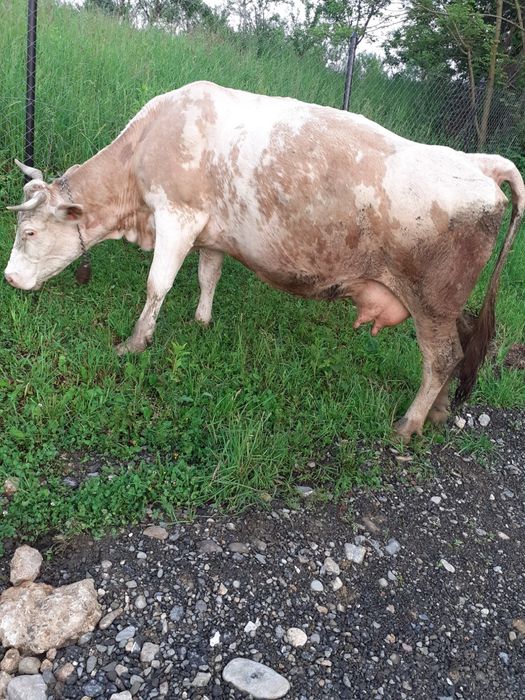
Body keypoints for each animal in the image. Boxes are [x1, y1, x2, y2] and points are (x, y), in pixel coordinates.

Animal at [4, 81, 524, 442]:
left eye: (28, 232)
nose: (9, 277)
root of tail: (479, 163)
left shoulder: (177, 217)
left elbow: (157, 284)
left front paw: (134, 343)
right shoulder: (212, 231)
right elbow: (208, 275)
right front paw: (202, 321)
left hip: (432, 301)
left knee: (442, 358)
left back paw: (409, 423)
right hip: (446, 305)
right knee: (460, 346)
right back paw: (437, 412)